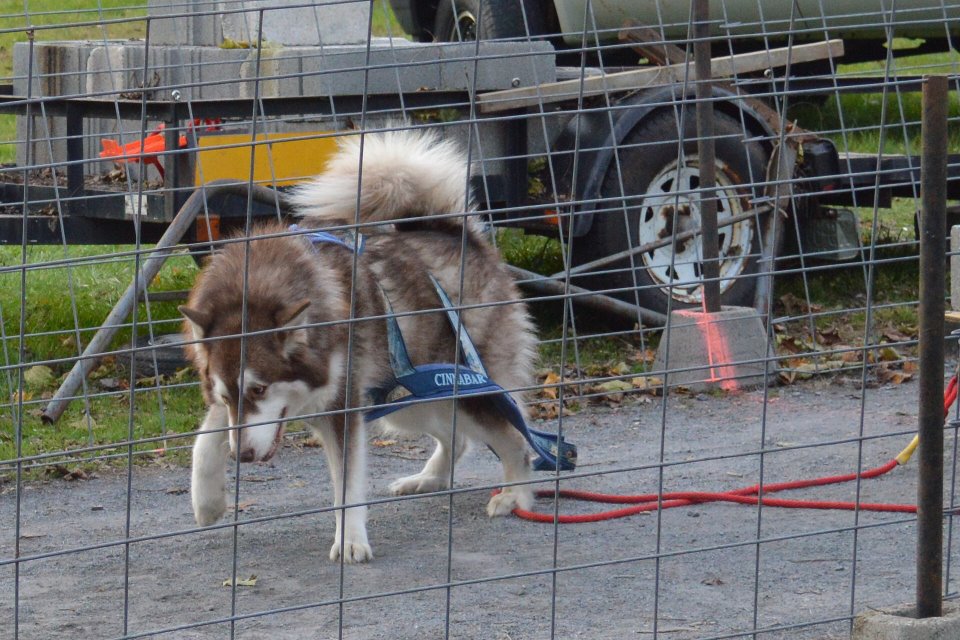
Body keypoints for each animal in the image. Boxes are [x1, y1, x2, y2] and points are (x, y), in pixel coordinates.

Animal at [181, 127, 540, 564]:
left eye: (260, 389)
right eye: (224, 393)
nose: (243, 457)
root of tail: (457, 233)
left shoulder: (342, 412)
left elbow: (347, 487)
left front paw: (350, 539)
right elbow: (206, 438)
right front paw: (207, 499)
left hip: (464, 390)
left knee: (517, 440)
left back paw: (516, 495)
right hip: (409, 399)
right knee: (456, 437)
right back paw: (429, 478)